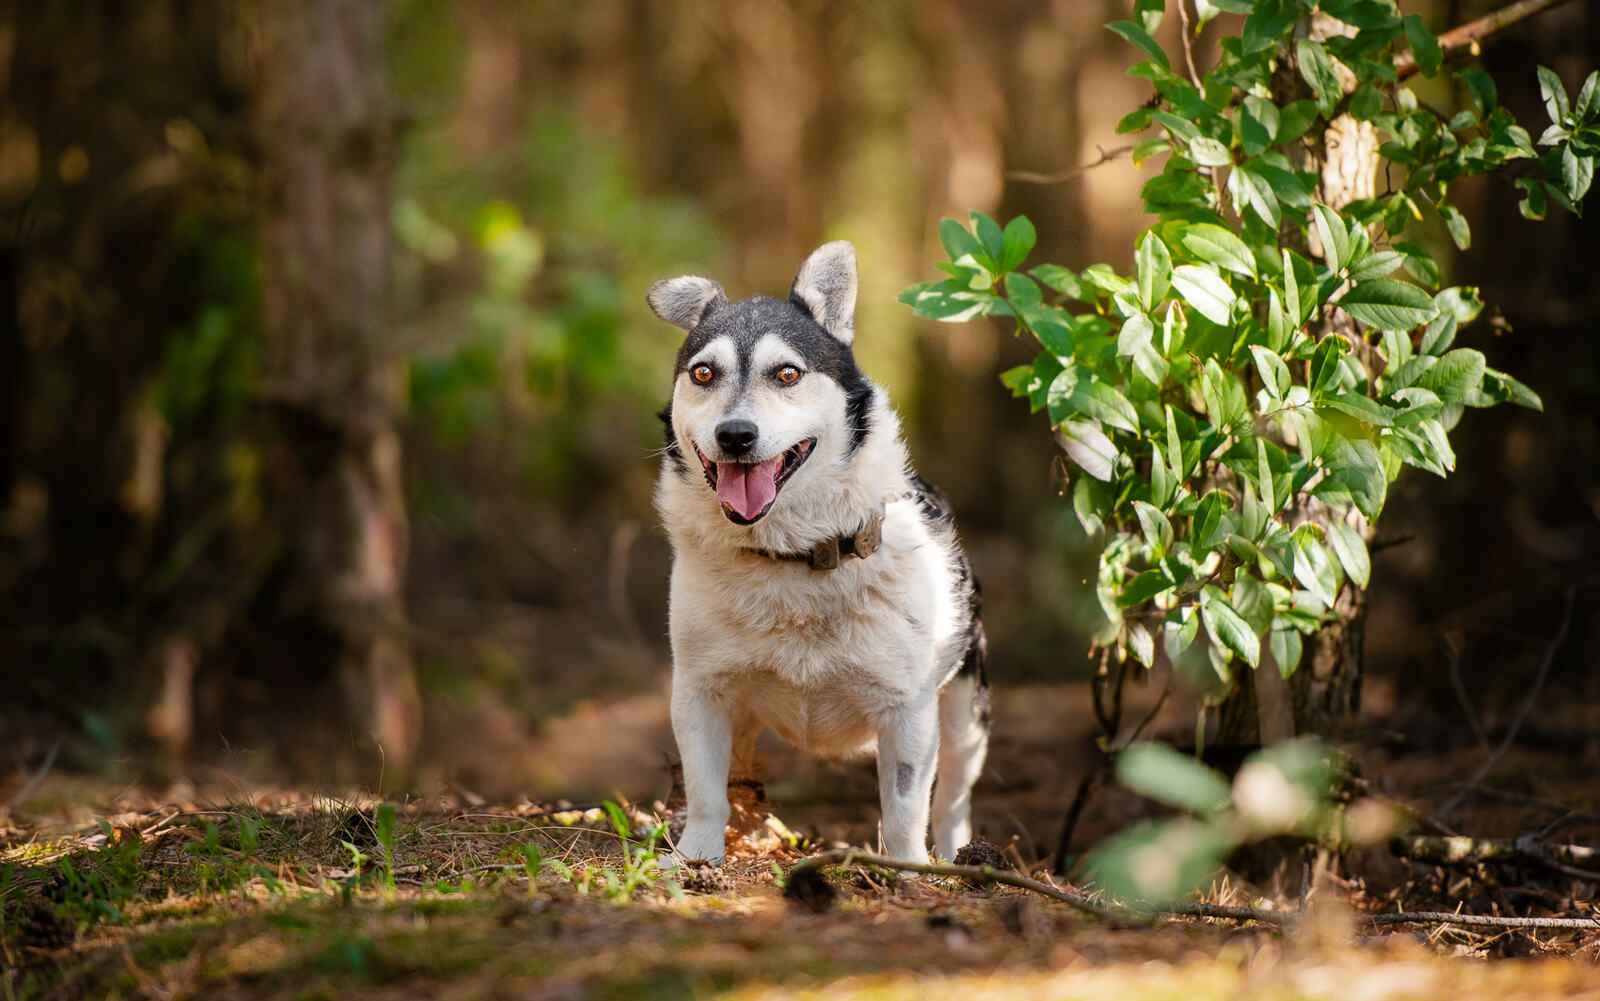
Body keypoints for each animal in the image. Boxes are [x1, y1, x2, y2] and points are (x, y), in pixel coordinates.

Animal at [646, 238, 985, 863]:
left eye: (788, 373)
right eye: (703, 373)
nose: (736, 435)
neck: (792, 554)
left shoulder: (908, 710)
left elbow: (905, 808)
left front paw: (909, 870)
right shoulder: (701, 692)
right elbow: (705, 789)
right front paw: (695, 859)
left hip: (967, 712)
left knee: (952, 800)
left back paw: (958, 861)